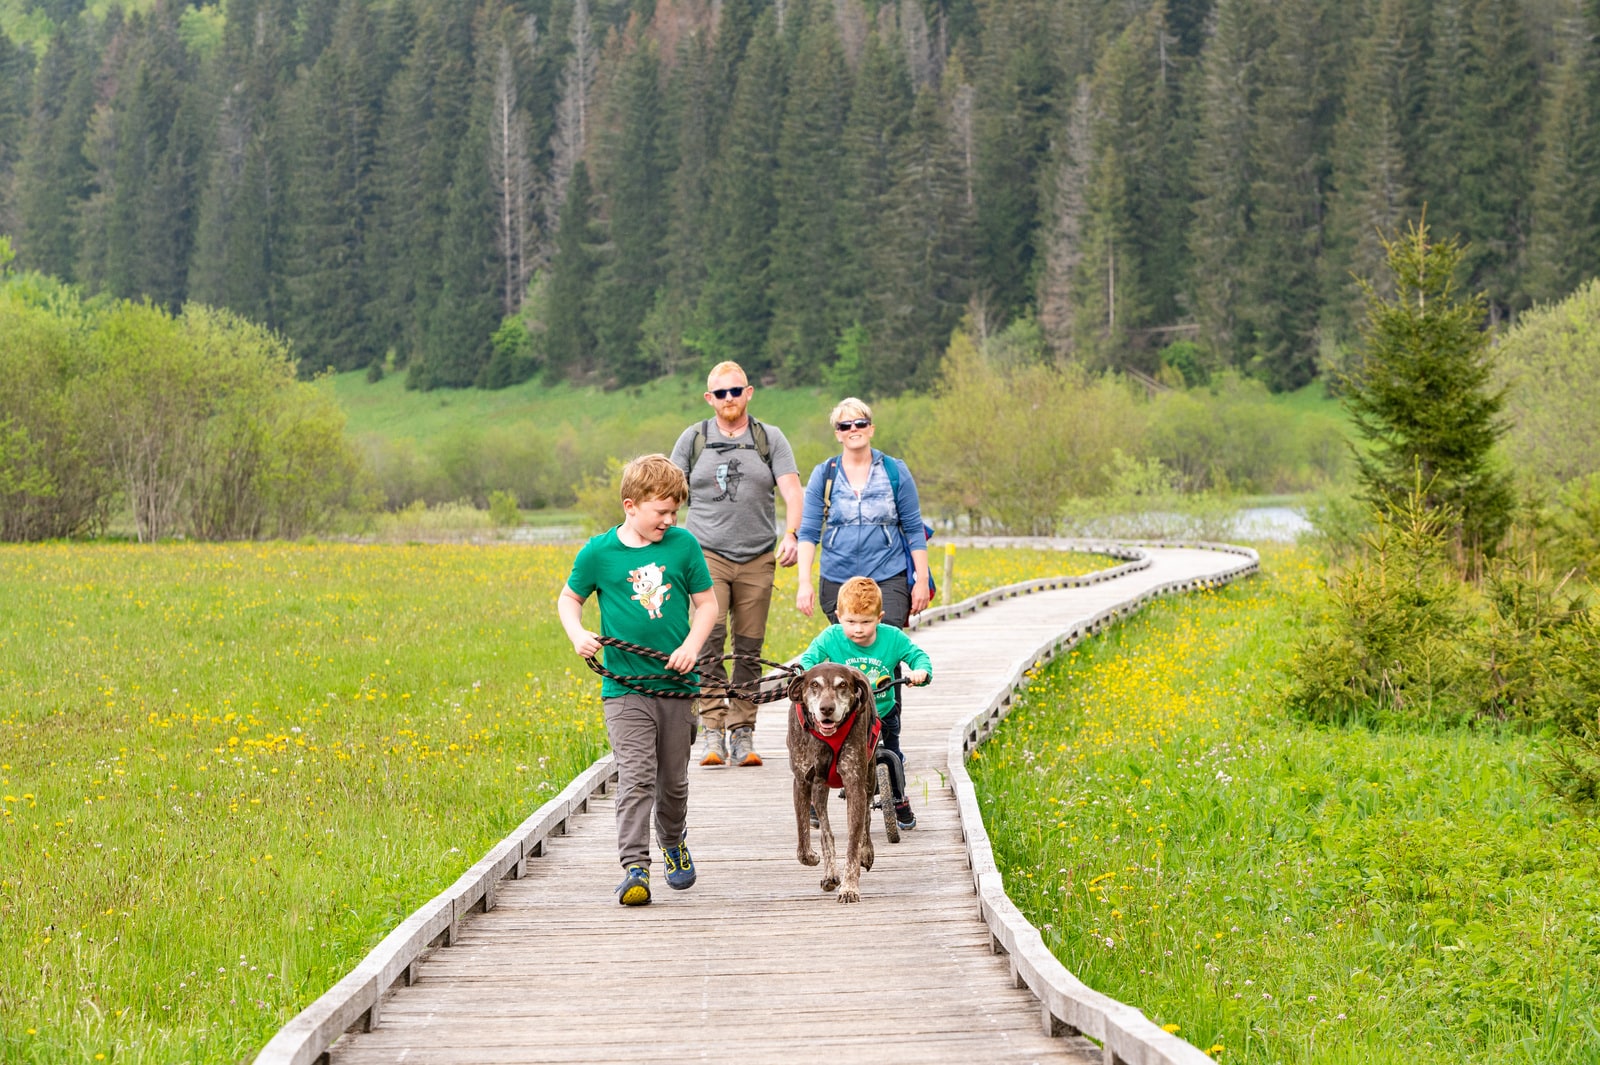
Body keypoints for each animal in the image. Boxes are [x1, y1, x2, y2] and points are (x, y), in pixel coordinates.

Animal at [784, 658, 876, 901]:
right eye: (814, 685)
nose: (827, 708)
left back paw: (866, 851)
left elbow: (853, 843)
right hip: (819, 790)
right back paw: (830, 874)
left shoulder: (855, 783)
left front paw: (849, 887)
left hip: (870, 777)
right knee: (826, 831)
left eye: (842, 685)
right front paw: (812, 858)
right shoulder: (802, 782)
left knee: (866, 819)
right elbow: (803, 838)